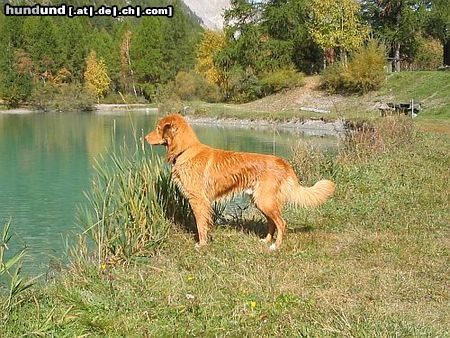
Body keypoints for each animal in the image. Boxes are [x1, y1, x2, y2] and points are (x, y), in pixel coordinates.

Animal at [146, 115, 336, 250]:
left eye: (157, 128)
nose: (145, 138)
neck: (186, 150)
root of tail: (282, 162)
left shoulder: (198, 200)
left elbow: (200, 225)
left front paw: (202, 244)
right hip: (261, 201)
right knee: (271, 223)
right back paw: (266, 240)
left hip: (265, 201)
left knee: (281, 223)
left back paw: (275, 246)